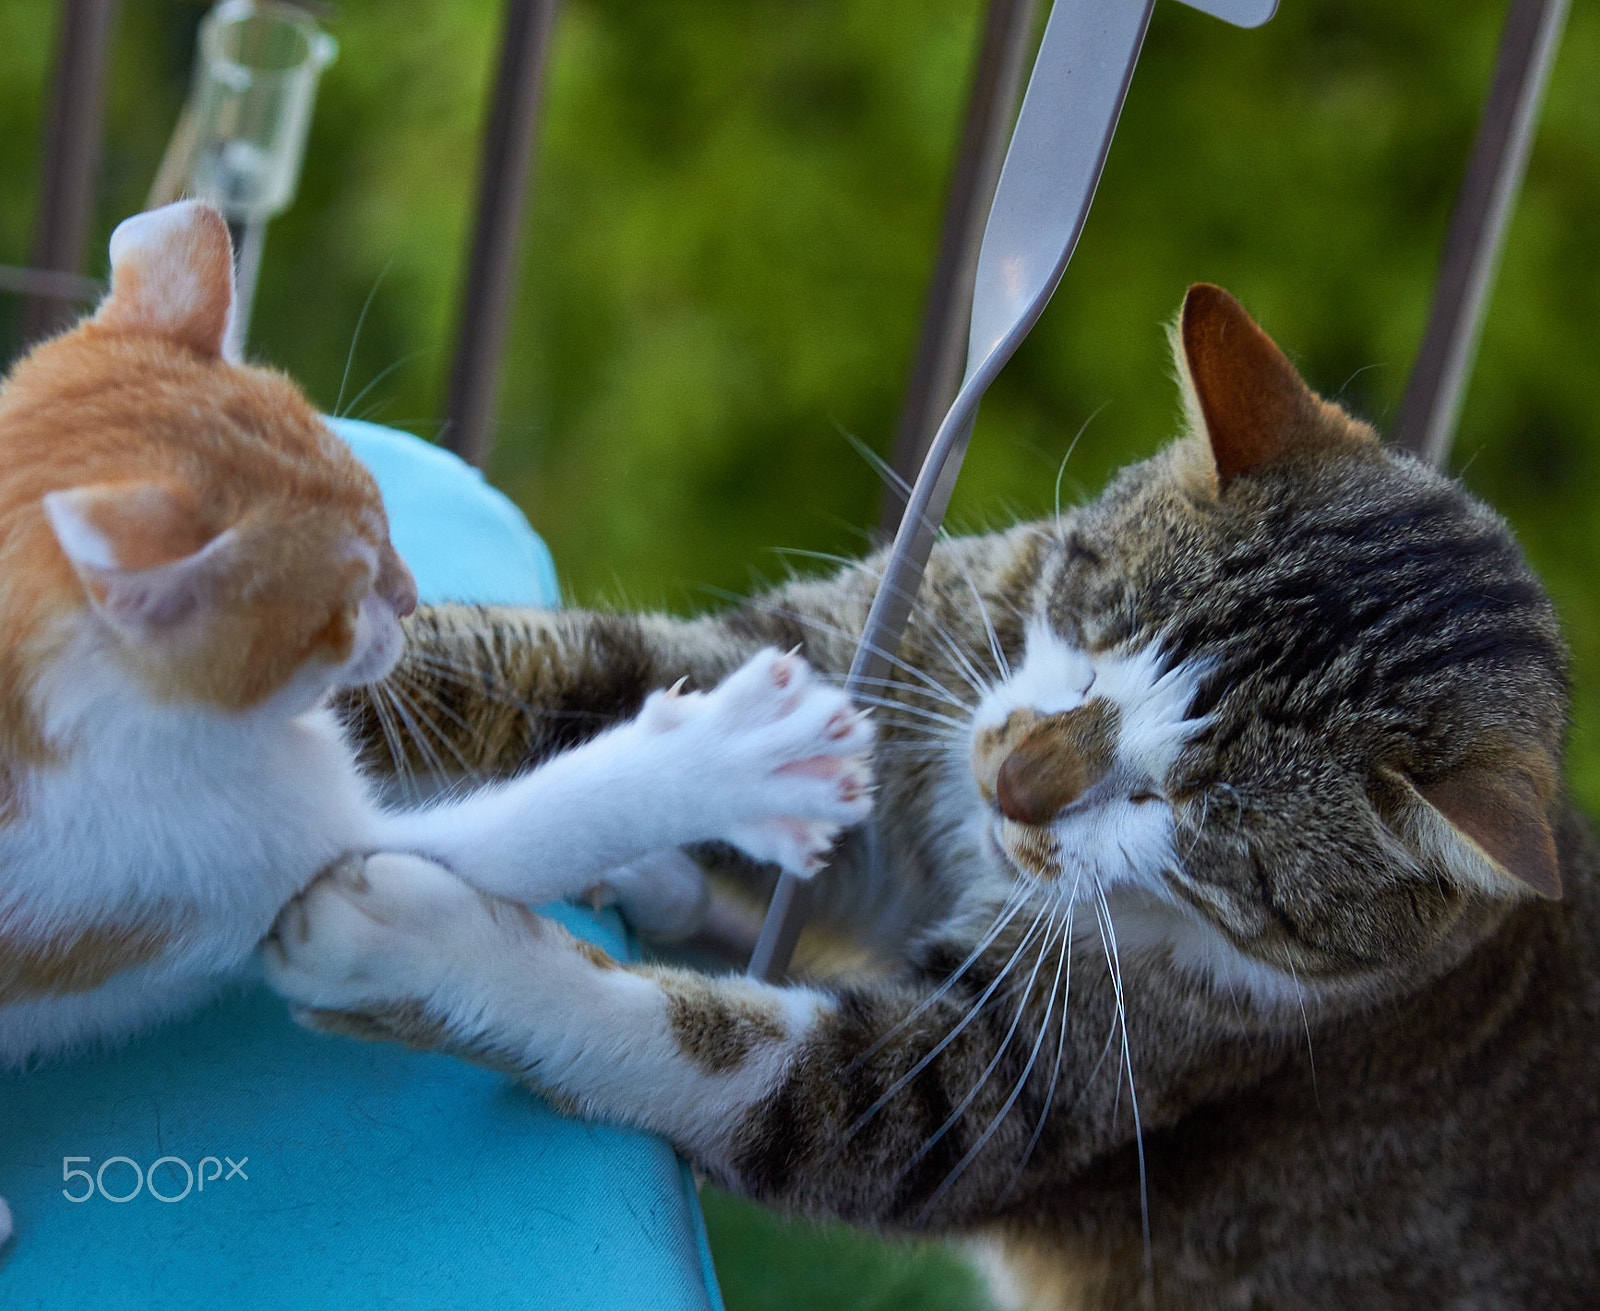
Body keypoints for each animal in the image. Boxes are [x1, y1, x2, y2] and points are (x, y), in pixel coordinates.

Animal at [0, 200, 876, 1248]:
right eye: (346, 593)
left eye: (386, 514)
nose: (413, 597)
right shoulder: (207, 864)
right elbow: (547, 819)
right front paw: (732, 761)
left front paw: (654, 873)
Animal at [268, 281, 1593, 1306]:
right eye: (1092, 629)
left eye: (1196, 813)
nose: (1013, 780)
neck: (961, 844)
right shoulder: (878, 664)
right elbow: (555, 671)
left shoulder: (1031, 1076)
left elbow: (749, 1062)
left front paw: (412, 941)